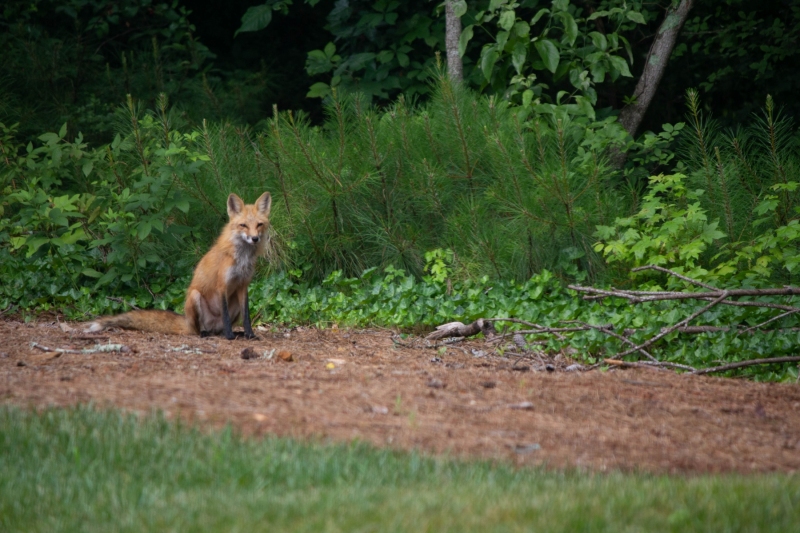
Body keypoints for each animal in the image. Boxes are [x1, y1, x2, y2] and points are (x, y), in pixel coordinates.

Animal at [85, 192, 272, 340]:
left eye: (259, 225)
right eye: (243, 225)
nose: (255, 239)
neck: (242, 258)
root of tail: (187, 321)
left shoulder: (243, 286)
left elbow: (247, 317)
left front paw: (249, 335)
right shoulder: (222, 286)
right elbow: (225, 316)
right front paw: (230, 337)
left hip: (233, 305)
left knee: (218, 329)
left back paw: (233, 333)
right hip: (195, 297)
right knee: (199, 329)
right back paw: (206, 333)